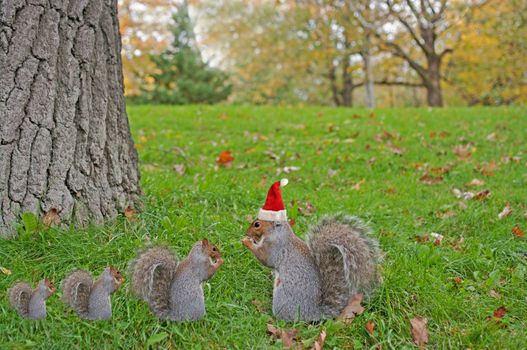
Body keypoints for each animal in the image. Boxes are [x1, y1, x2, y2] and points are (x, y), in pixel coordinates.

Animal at [241, 179, 382, 322]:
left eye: (257, 224)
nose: (246, 232)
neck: (278, 233)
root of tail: (314, 313)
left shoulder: (275, 247)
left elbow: (266, 259)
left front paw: (247, 242)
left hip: (282, 297)